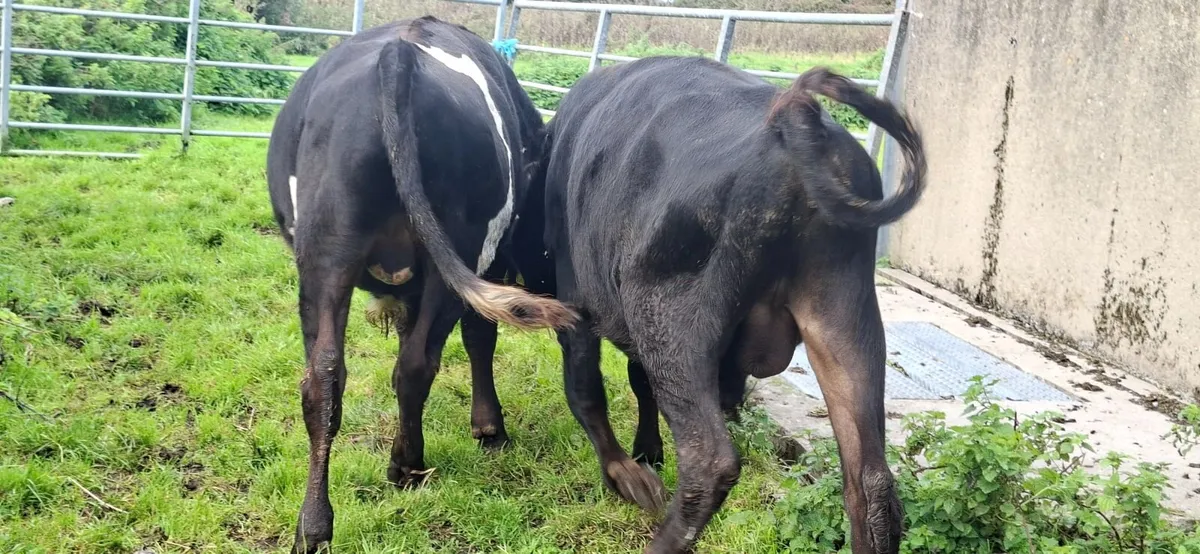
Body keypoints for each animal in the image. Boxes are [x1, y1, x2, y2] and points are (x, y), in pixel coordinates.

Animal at [265, 16, 576, 553]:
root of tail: (399, 57)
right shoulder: (488, 265)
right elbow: (479, 338)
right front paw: (489, 428)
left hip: (327, 256)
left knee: (327, 377)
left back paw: (317, 524)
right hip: (452, 254)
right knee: (412, 364)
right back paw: (405, 467)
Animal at [535, 57, 926, 554]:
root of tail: (795, 120)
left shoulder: (575, 301)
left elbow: (585, 388)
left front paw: (627, 473)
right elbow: (637, 382)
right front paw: (647, 452)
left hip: (669, 317)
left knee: (710, 461)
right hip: (843, 316)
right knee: (871, 481)